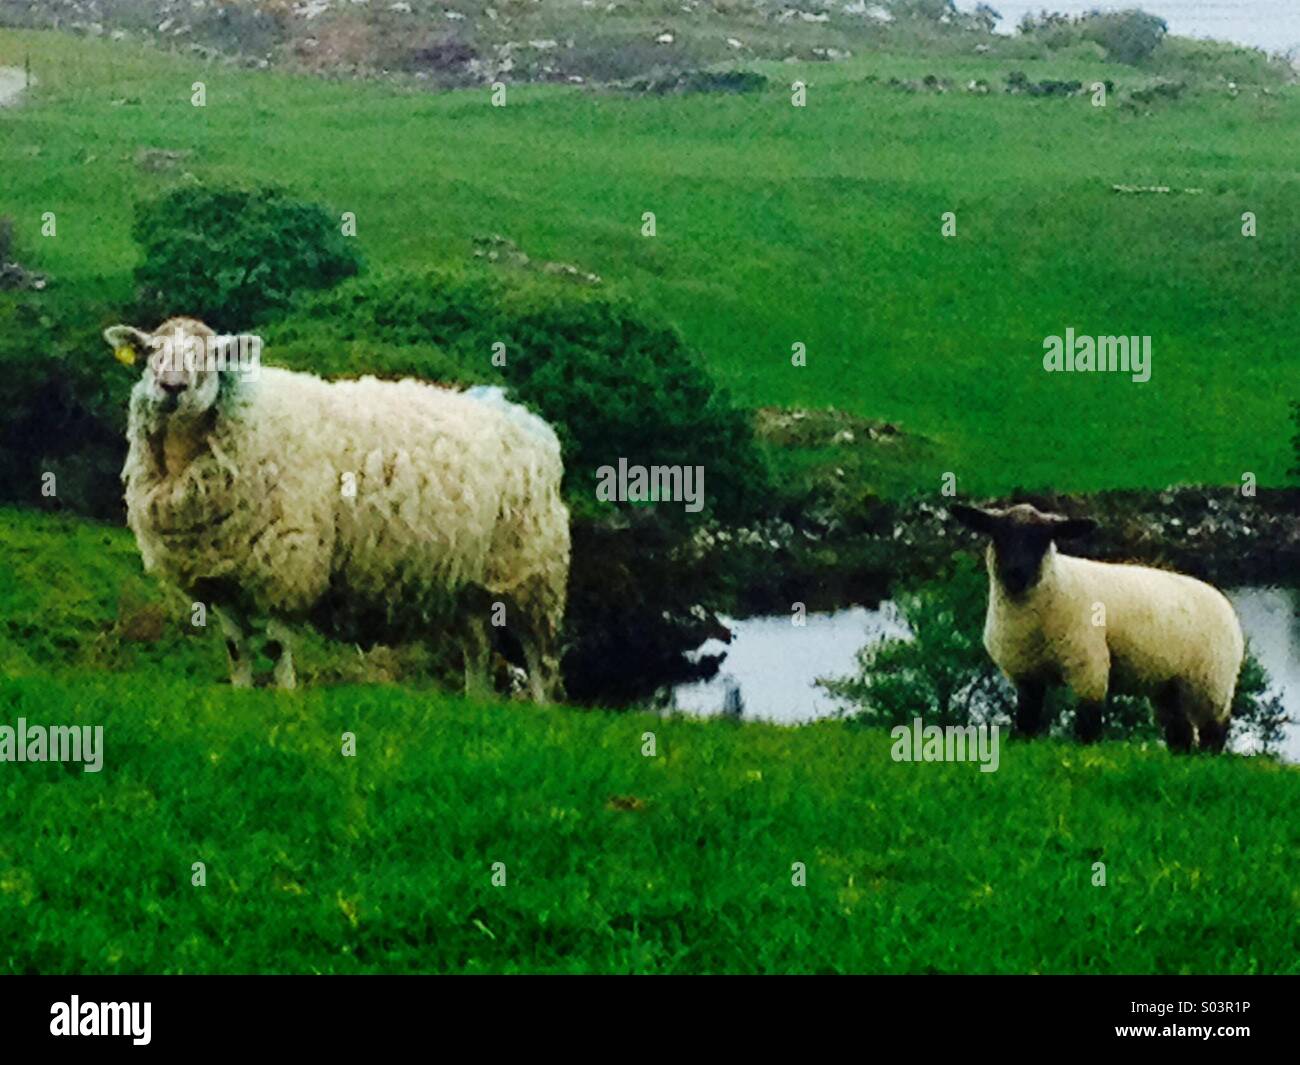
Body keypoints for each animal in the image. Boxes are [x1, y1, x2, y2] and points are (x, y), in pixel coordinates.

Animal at [104, 316, 570, 702]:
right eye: (150, 351)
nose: (171, 387)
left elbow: (276, 643)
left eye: (211, 356)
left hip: (534, 572)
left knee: (540, 658)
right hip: (467, 582)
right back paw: (477, 704)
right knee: (477, 646)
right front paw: (241, 694)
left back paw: (540, 712)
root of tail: (521, 416)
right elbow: (236, 648)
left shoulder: (286, 563)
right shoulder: (221, 576)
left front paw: (285, 695)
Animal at [951, 502, 1244, 752]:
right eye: (998, 534)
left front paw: (1086, 753)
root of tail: (1223, 601)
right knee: (1179, 732)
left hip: (1212, 681)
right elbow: (1026, 721)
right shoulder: (1025, 675)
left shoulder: (1089, 667)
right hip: (1167, 686)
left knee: (1213, 732)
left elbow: (1087, 726)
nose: (1016, 573)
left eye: (1043, 539)